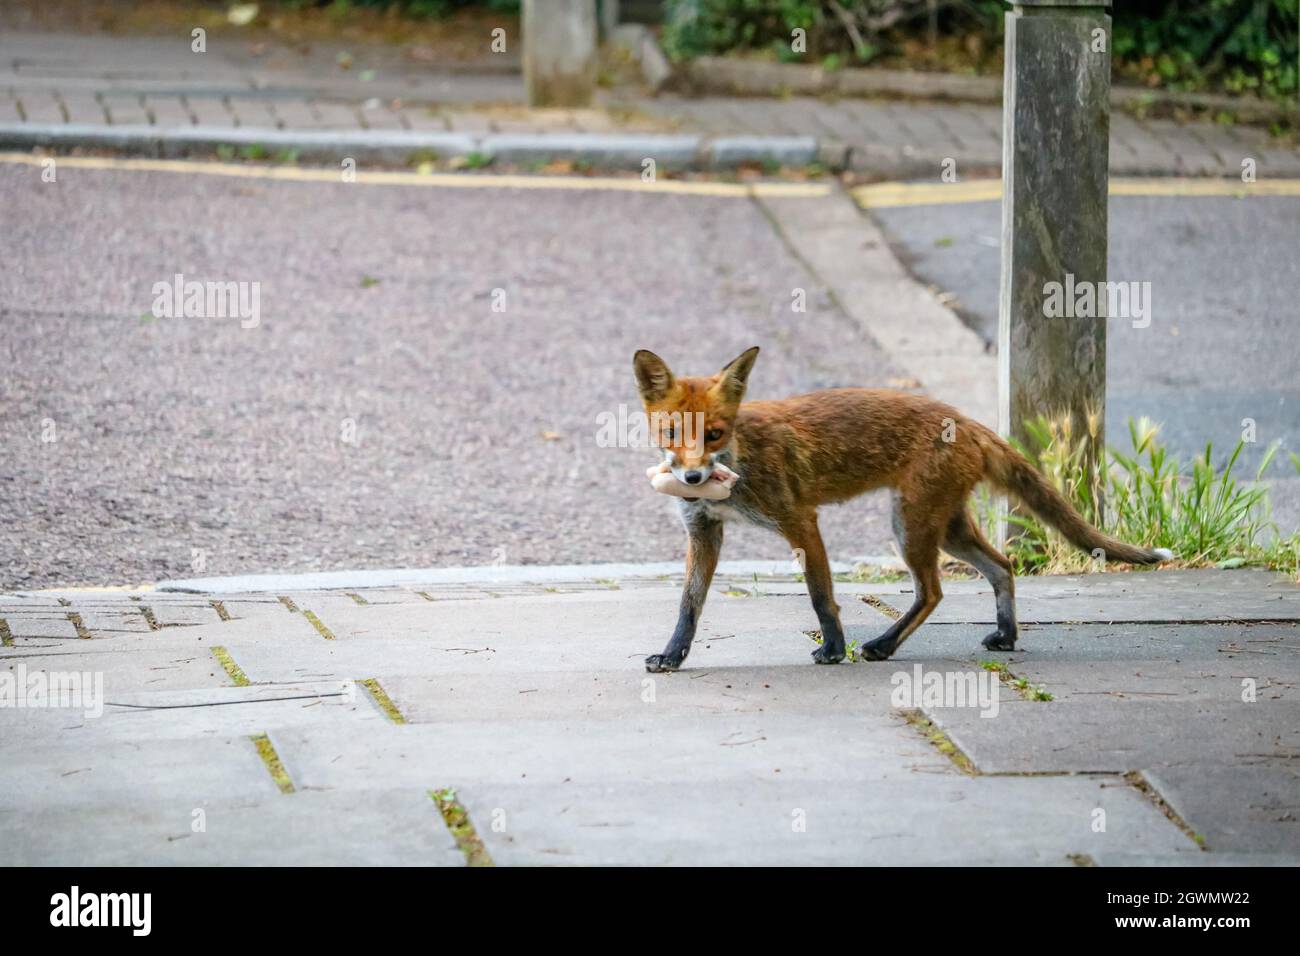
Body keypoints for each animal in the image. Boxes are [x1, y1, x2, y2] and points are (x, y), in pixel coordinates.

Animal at [634, 346, 1173, 673]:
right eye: (671, 433)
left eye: (714, 434)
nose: (692, 480)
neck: (739, 459)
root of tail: (965, 419)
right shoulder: (703, 533)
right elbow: (689, 605)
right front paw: (672, 655)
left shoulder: (800, 521)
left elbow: (822, 597)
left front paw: (834, 649)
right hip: (947, 528)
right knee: (1003, 566)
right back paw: (1005, 636)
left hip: (911, 527)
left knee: (933, 591)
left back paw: (884, 645)